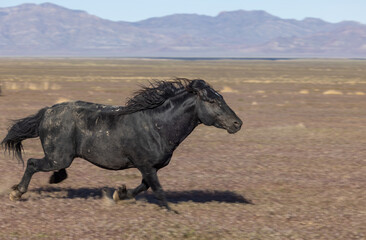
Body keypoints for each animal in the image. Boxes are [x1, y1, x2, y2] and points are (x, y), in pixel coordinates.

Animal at [3, 78, 243, 211]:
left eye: (221, 97)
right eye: (212, 100)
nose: (237, 124)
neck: (157, 125)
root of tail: (46, 113)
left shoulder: (151, 167)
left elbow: (144, 186)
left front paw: (120, 194)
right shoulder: (146, 165)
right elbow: (158, 190)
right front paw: (173, 213)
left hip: (61, 157)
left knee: (50, 168)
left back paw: (53, 179)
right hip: (58, 157)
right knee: (32, 163)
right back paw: (17, 193)